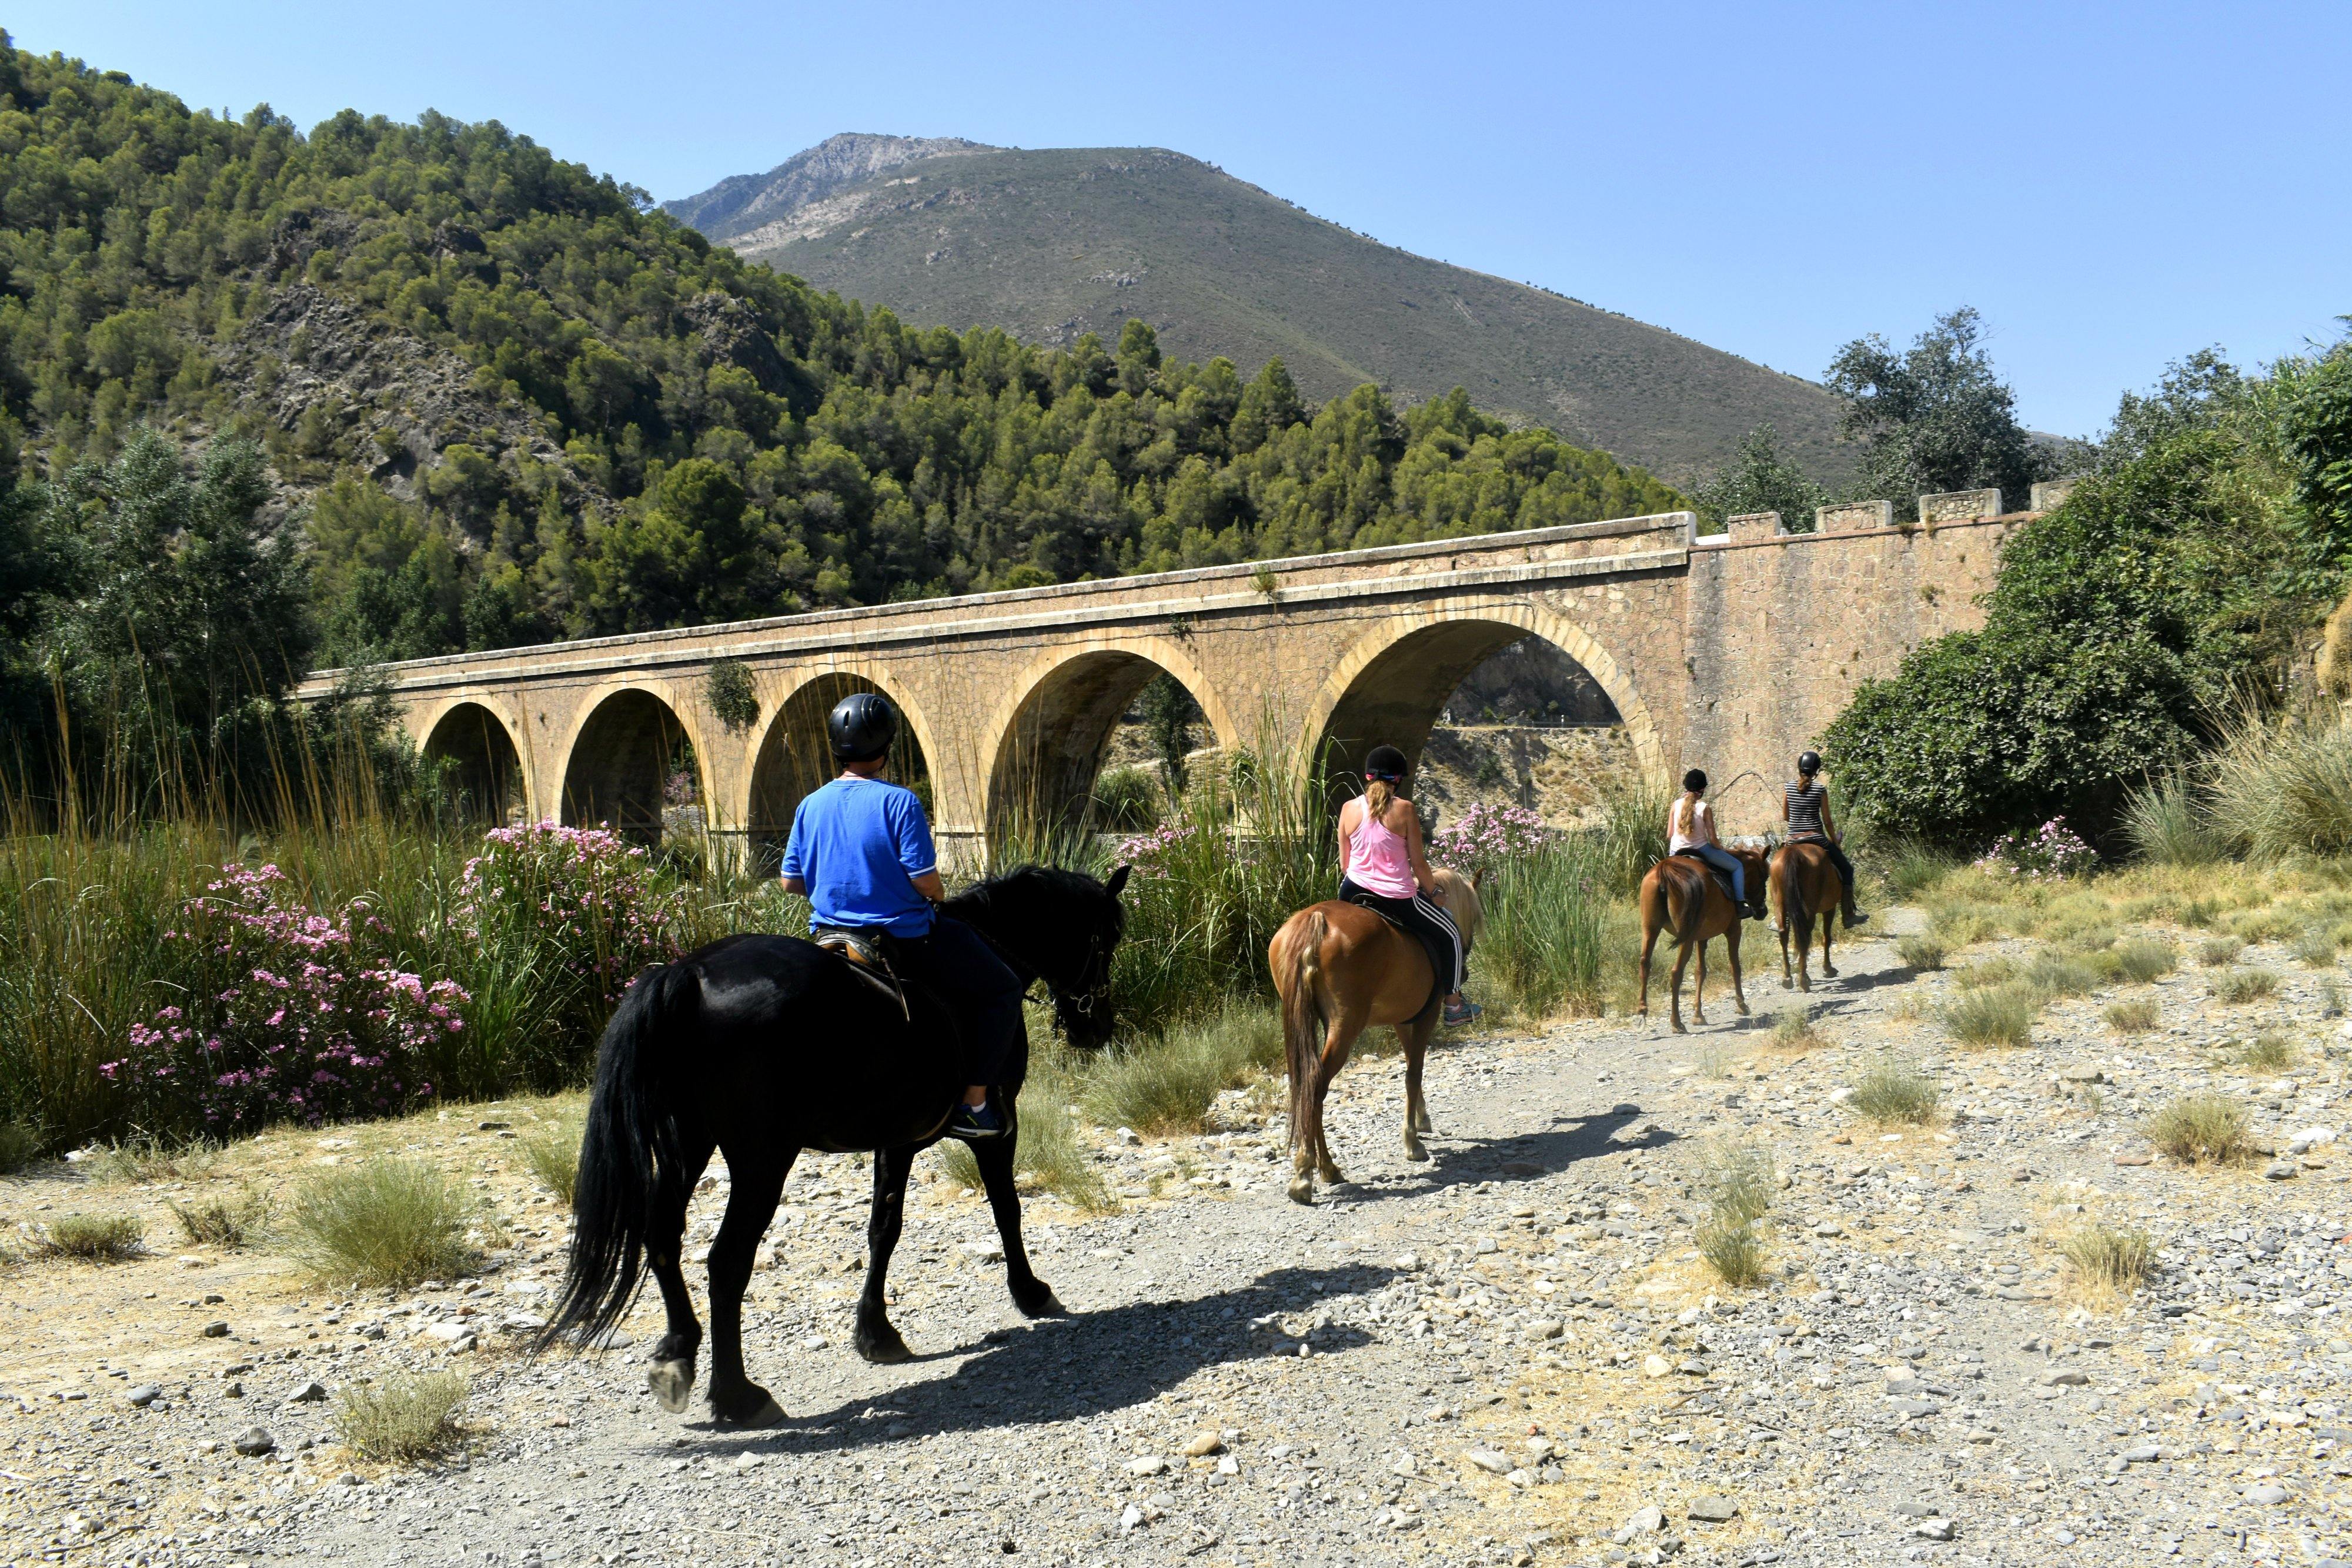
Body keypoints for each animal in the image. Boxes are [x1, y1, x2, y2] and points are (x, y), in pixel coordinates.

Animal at [541, 865, 1129, 1429]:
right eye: (1106, 940)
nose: (1096, 1027)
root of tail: (689, 973)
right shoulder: (1000, 1127)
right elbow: (1007, 1207)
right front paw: (1030, 1291)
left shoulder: (898, 1139)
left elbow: (884, 1227)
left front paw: (876, 1332)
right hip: (762, 1158)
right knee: (727, 1260)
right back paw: (739, 1396)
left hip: (690, 1141)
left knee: (662, 1234)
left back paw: (677, 1356)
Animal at [1279, 865, 1477, 1213]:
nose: (1464, 972)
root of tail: (1316, 919)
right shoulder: (1425, 1016)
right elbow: (1414, 1073)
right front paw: (1413, 1142)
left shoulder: (1403, 1019)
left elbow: (1411, 1067)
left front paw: (1421, 1120)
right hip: (1345, 1026)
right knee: (1316, 1087)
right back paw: (1311, 1172)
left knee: (1305, 1086)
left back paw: (1323, 1169)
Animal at [1637, 851, 1769, 1034]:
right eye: (1764, 876)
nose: (1763, 911)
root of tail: (1664, 870)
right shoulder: (1734, 931)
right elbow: (1735, 967)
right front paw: (1742, 1005)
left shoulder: (1701, 937)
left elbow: (1700, 971)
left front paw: (1698, 1015)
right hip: (1686, 938)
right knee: (1676, 973)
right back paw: (1676, 1023)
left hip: (1650, 929)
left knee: (1645, 963)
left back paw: (1642, 1011)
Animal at [1769, 841, 1844, 987]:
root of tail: (1793, 853)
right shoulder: (1830, 908)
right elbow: (1827, 937)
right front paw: (1828, 969)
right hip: (1810, 908)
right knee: (1805, 937)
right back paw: (1803, 981)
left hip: (1779, 902)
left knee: (1785, 934)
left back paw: (1788, 978)